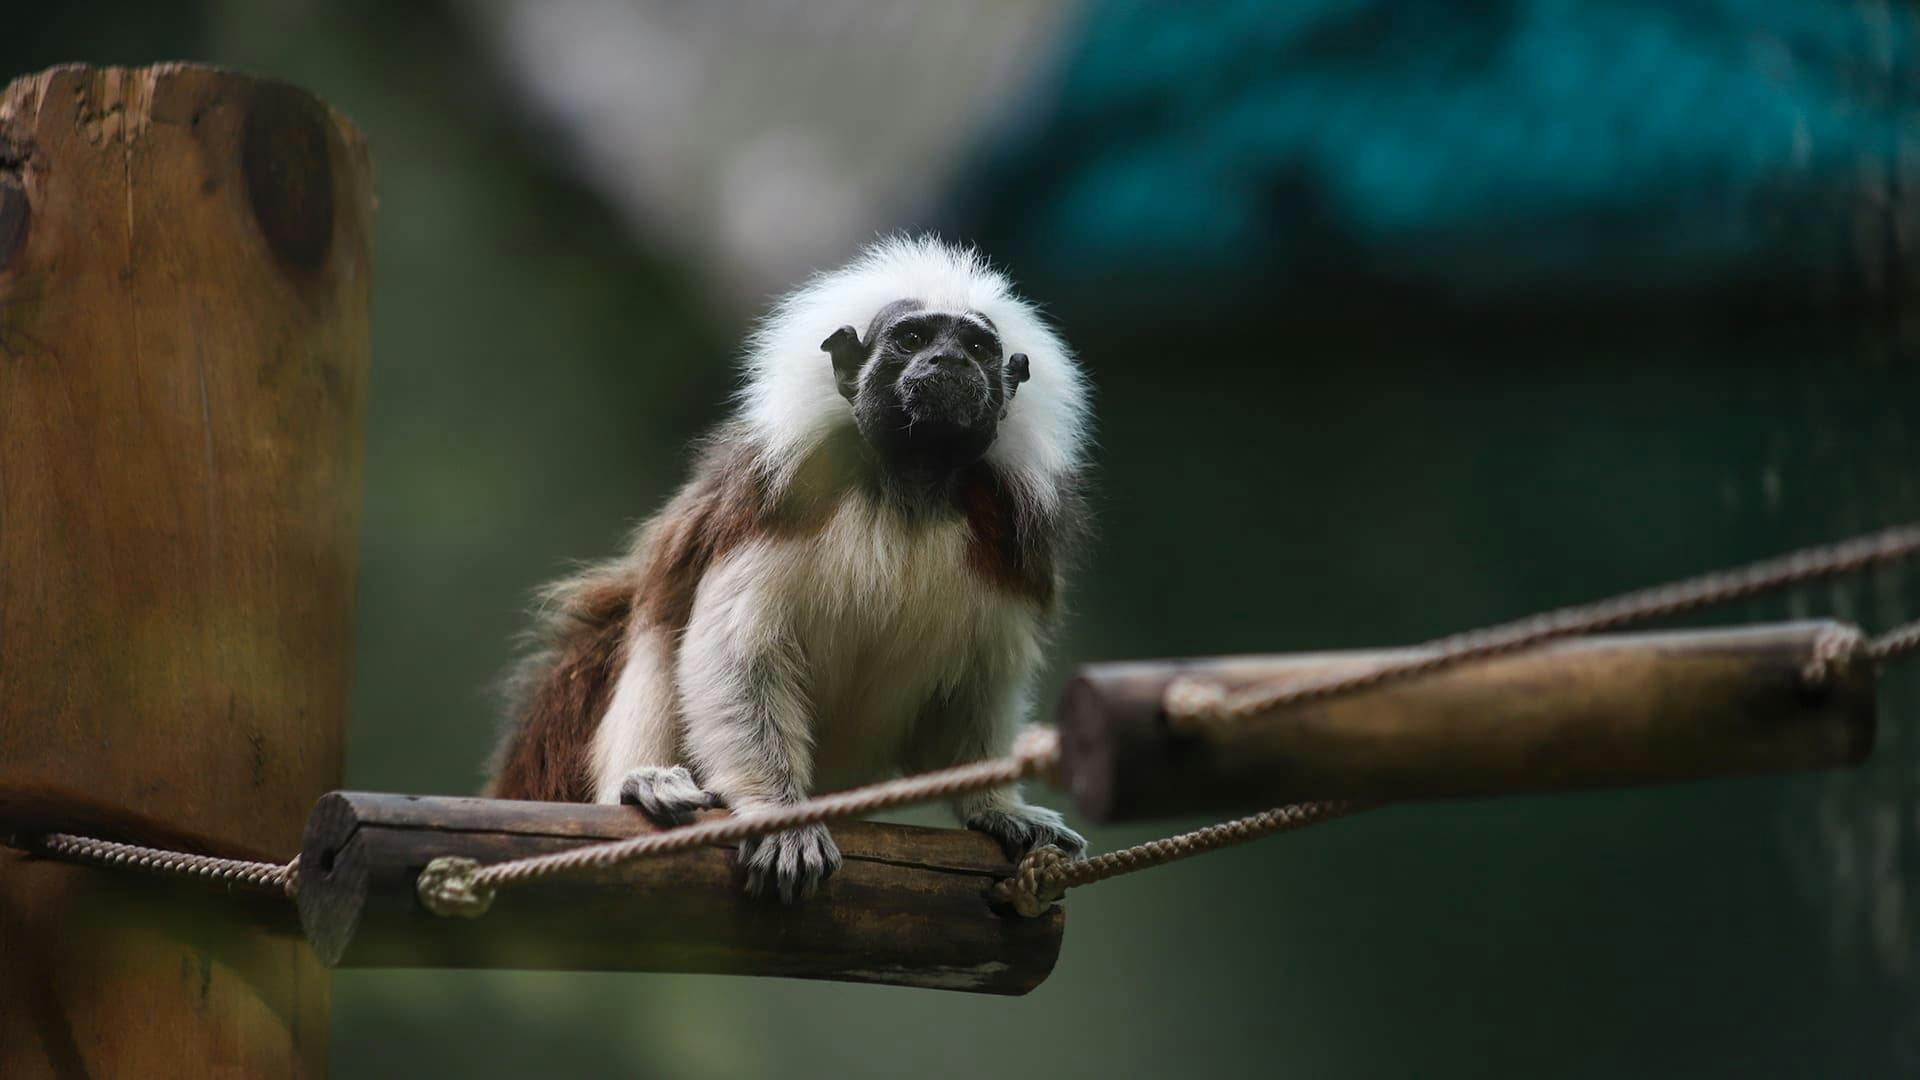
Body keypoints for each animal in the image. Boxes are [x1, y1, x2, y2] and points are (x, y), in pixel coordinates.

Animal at [487, 235, 1089, 902]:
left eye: (978, 348)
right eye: (912, 339)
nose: (950, 360)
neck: (907, 487)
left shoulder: (1003, 535)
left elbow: (972, 692)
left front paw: (997, 806)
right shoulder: (777, 495)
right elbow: (737, 656)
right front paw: (780, 818)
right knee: (649, 630)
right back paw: (642, 783)